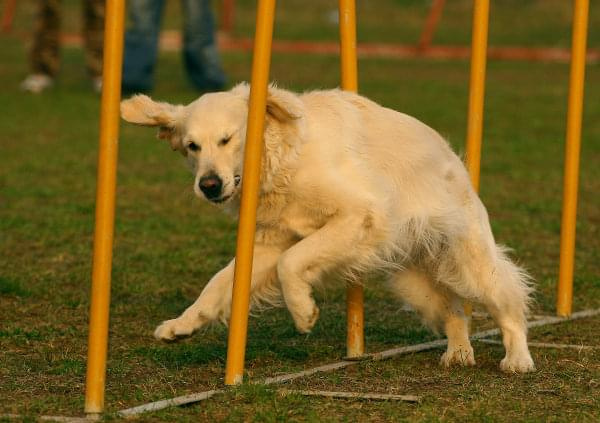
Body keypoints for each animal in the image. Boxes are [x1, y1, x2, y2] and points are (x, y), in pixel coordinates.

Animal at [120, 83, 536, 374]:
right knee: (454, 312)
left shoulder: (359, 214)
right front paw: (182, 324)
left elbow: (291, 263)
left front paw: (304, 312)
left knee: (508, 305)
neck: (284, 159)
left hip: (471, 262)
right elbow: (220, 284)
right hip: (412, 283)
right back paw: (459, 352)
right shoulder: (270, 240)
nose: (208, 185)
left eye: (227, 139)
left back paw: (518, 359)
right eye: (192, 146)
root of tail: (453, 159)